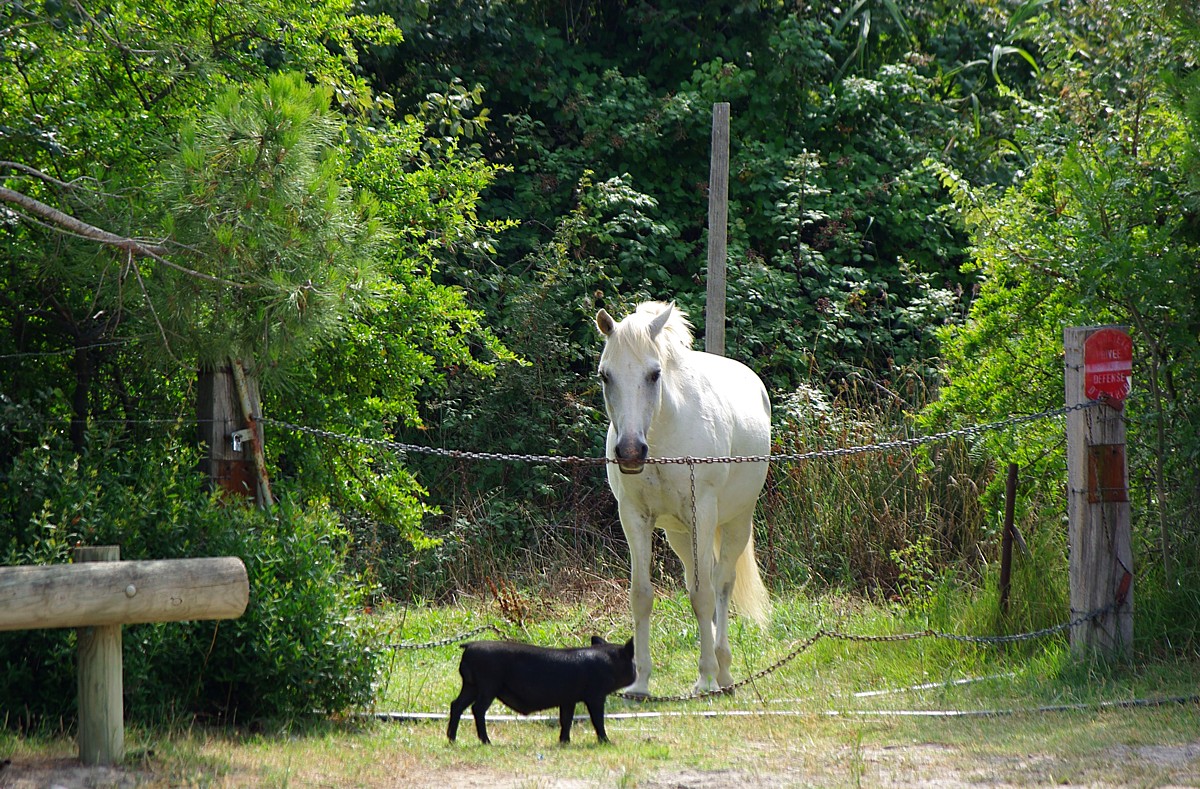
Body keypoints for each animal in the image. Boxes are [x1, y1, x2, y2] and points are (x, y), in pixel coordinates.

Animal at [595, 300, 772, 695]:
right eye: (605, 375)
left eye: (654, 374)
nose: (630, 451)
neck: (663, 435)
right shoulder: (634, 517)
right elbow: (642, 596)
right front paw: (640, 683)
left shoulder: (702, 513)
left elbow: (704, 596)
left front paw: (704, 677)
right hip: (678, 534)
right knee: (698, 578)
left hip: (735, 522)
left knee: (720, 583)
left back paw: (722, 673)